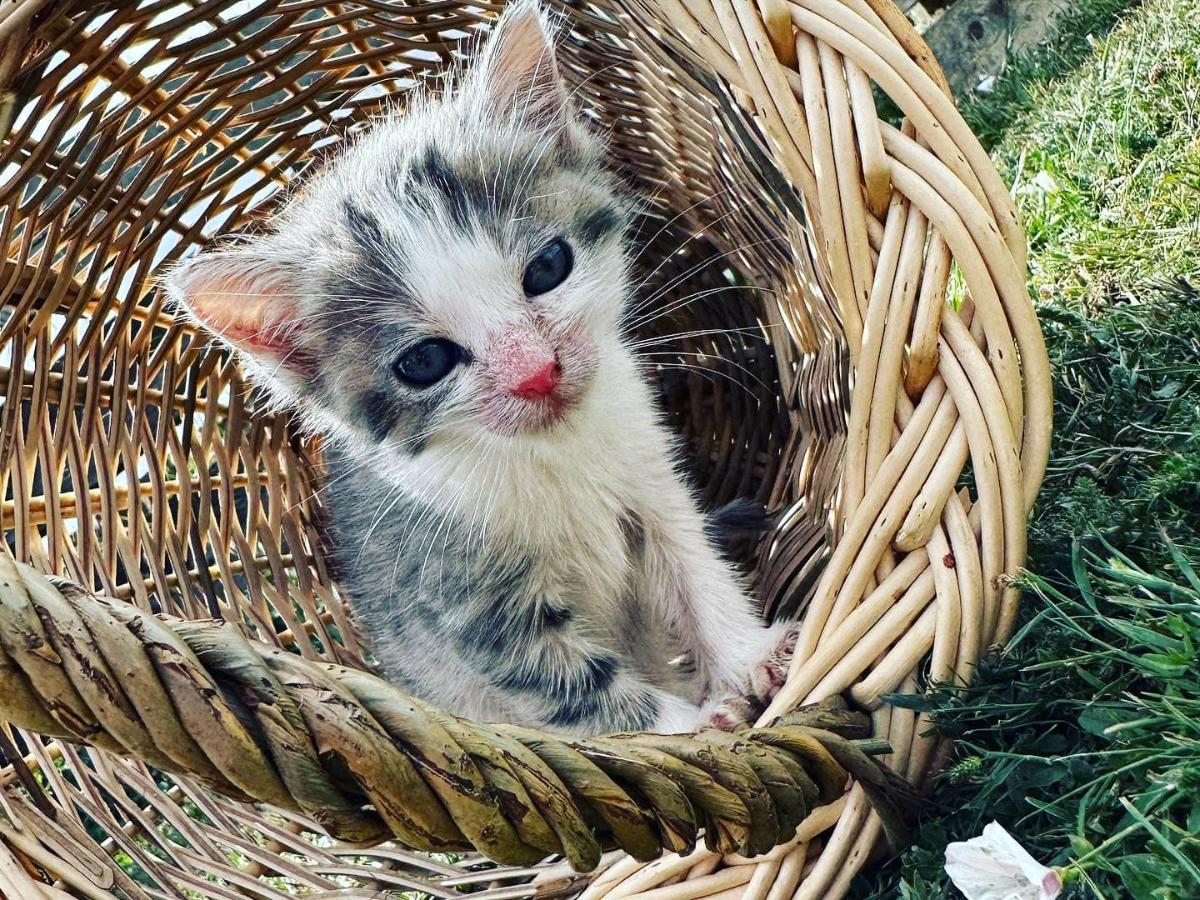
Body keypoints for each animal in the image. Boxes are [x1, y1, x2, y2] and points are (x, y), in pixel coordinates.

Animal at [169, 0, 787, 734]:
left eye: (548, 267)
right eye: (425, 362)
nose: (536, 372)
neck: (557, 452)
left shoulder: (653, 481)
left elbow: (695, 565)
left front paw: (748, 656)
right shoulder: (461, 603)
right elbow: (575, 685)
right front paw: (690, 727)